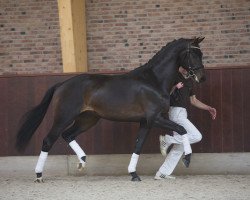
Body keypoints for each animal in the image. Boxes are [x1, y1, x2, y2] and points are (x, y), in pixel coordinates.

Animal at [16, 36, 206, 182]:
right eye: (193, 54)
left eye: (201, 54)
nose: (201, 78)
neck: (153, 80)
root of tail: (62, 84)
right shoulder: (155, 118)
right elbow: (182, 129)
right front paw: (187, 158)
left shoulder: (145, 122)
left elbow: (138, 145)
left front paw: (134, 174)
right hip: (63, 117)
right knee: (48, 140)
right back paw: (39, 175)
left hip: (88, 119)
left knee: (68, 135)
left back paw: (82, 161)